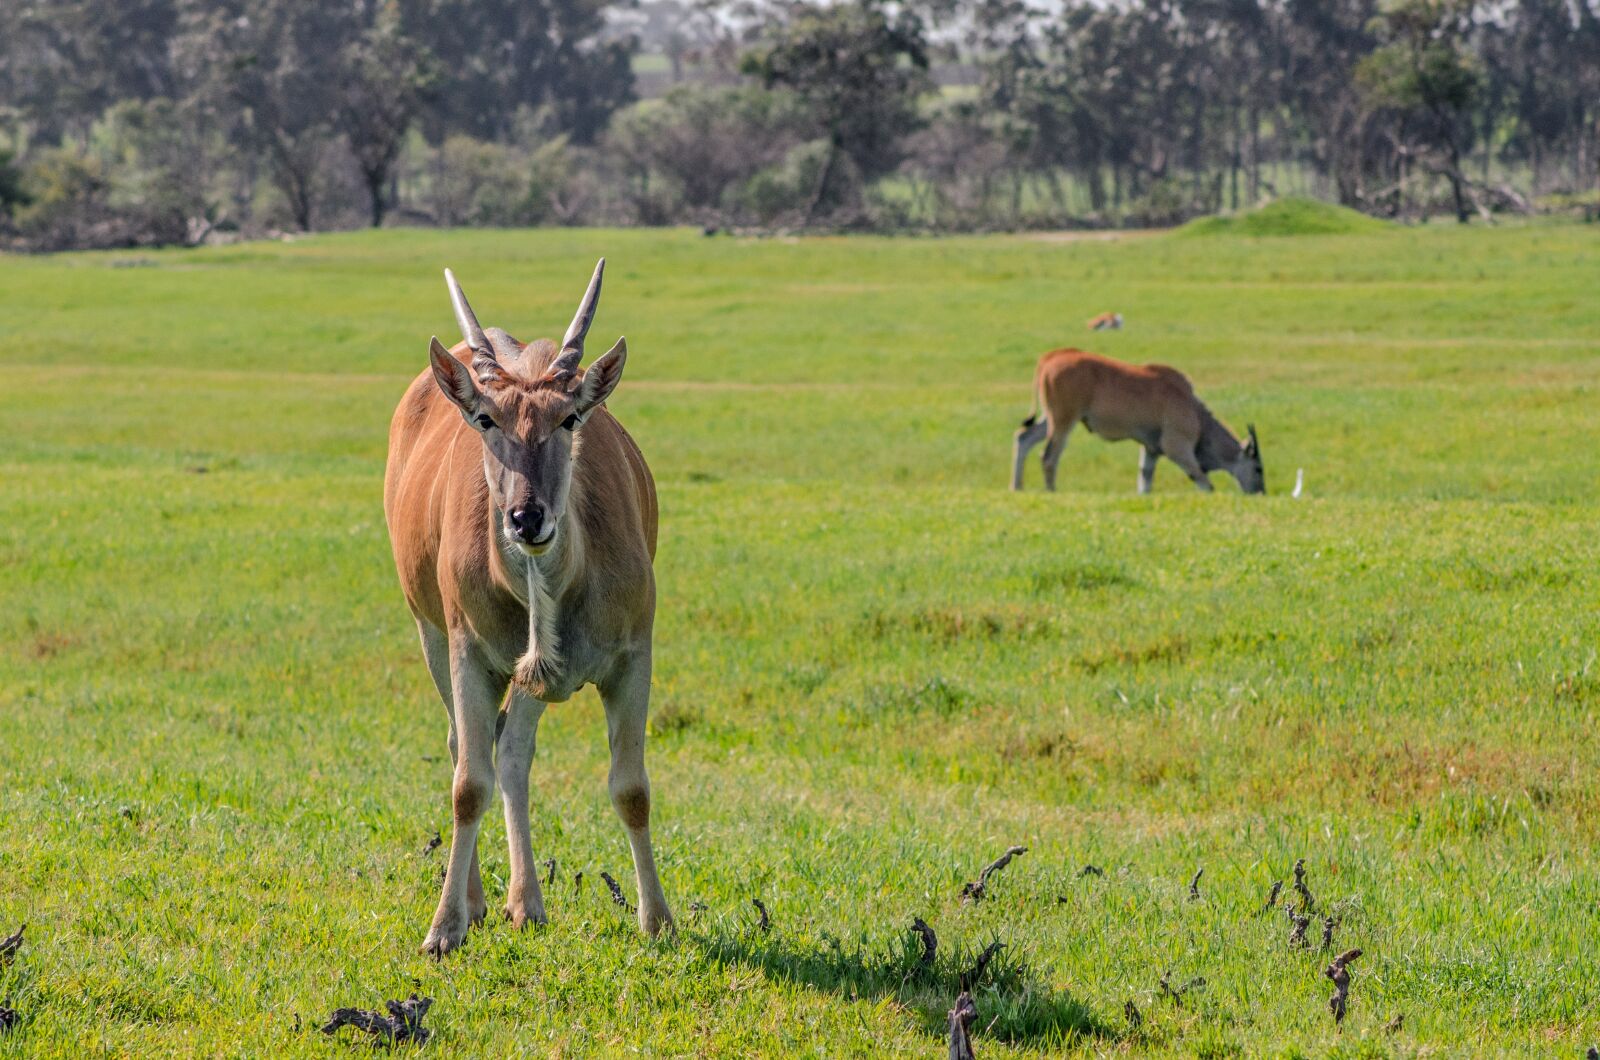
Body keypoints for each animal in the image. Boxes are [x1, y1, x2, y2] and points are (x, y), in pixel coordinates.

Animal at [383, 259, 672, 956]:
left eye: (569, 418)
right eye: (487, 419)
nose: (526, 517)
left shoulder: (633, 658)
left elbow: (631, 788)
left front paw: (658, 920)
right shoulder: (468, 652)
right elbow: (467, 785)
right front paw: (444, 928)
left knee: (512, 752)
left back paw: (526, 903)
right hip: (431, 632)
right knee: (467, 747)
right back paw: (481, 902)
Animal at [1011, 349, 1264, 495]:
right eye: (1258, 468)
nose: (1261, 492)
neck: (1195, 412)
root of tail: (1050, 358)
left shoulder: (1151, 449)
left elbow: (1145, 481)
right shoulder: (1177, 447)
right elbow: (1205, 483)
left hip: (1051, 417)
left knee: (1023, 437)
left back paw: (1017, 487)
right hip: (1064, 419)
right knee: (1048, 456)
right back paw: (1052, 491)